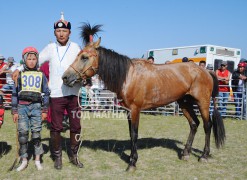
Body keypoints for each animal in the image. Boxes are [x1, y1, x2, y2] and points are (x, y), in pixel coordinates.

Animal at [62, 38, 226, 172]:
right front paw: (131, 158)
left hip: (203, 103)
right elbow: (130, 134)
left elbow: (134, 134)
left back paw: (204, 155)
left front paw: (132, 163)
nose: (65, 77)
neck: (128, 76)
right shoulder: (128, 110)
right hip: (184, 103)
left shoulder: (135, 110)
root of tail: (206, 71)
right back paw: (185, 153)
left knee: (207, 125)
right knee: (194, 124)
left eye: (84, 57)